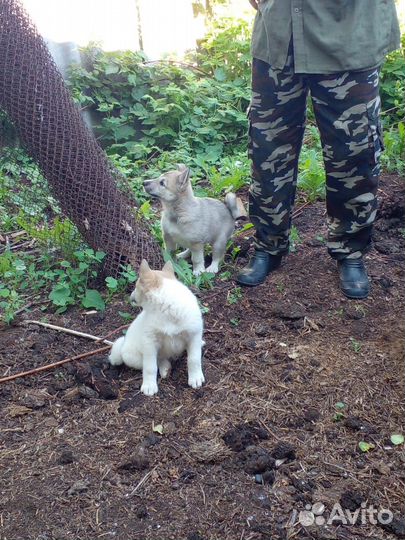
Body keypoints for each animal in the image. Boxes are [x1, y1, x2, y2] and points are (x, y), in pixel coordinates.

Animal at [109, 260, 204, 394]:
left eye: (136, 286)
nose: (130, 296)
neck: (168, 308)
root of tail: (123, 344)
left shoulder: (194, 335)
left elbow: (194, 359)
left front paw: (195, 377)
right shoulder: (150, 344)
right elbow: (150, 367)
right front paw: (149, 386)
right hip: (134, 358)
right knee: (159, 360)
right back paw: (165, 368)